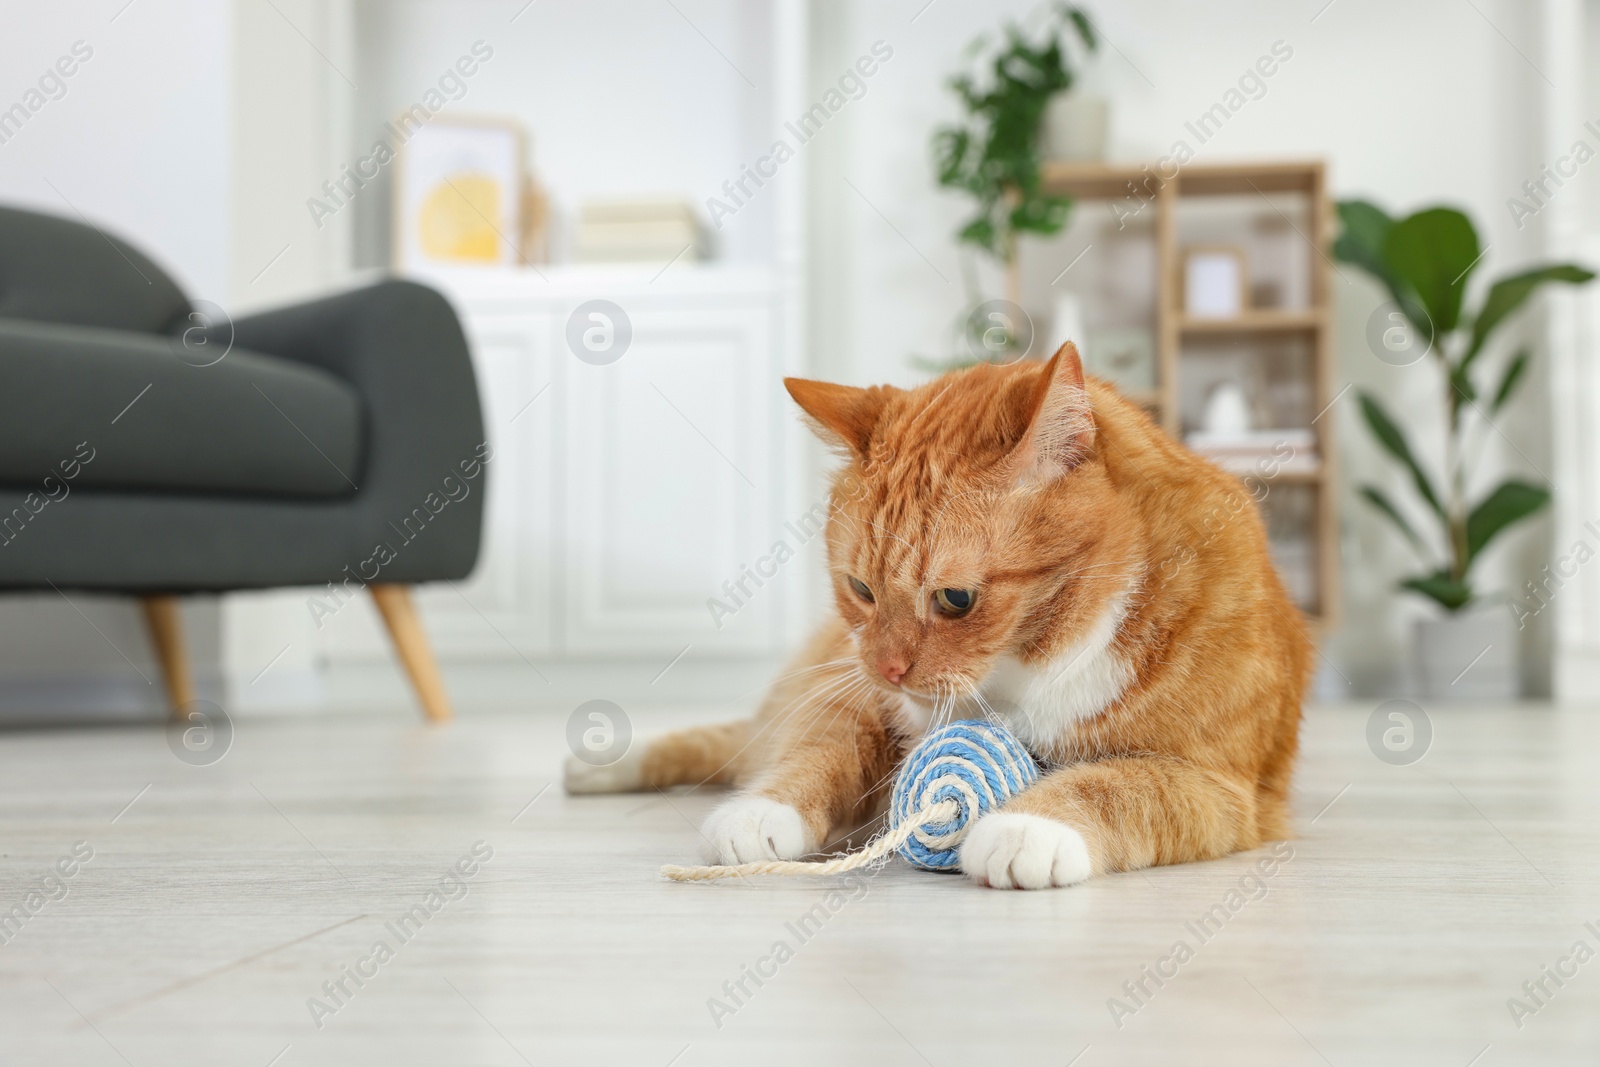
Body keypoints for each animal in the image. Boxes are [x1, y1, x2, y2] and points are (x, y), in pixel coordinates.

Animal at [566, 347, 1312, 889]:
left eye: (955, 599)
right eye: (861, 588)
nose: (888, 667)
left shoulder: (1217, 785)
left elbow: (1120, 786)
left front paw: (1030, 828)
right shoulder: (853, 696)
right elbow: (820, 748)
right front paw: (761, 812)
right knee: (741, 740)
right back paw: (600, 764)